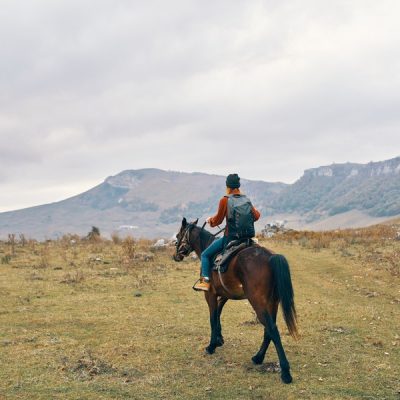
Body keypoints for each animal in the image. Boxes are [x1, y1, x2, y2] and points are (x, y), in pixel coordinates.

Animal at [173, 219, 298, 384]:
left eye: (178, 235)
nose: (175, 256)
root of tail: (272, 257)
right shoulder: (224, 295)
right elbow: (218, 314)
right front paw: (219, 339)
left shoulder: (210, 295)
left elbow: (212, 318)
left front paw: (211, 346)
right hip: (273, 303)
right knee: (269, 330)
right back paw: (258, 357)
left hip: (258, 302)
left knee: (272, 329)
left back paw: (285, 372)